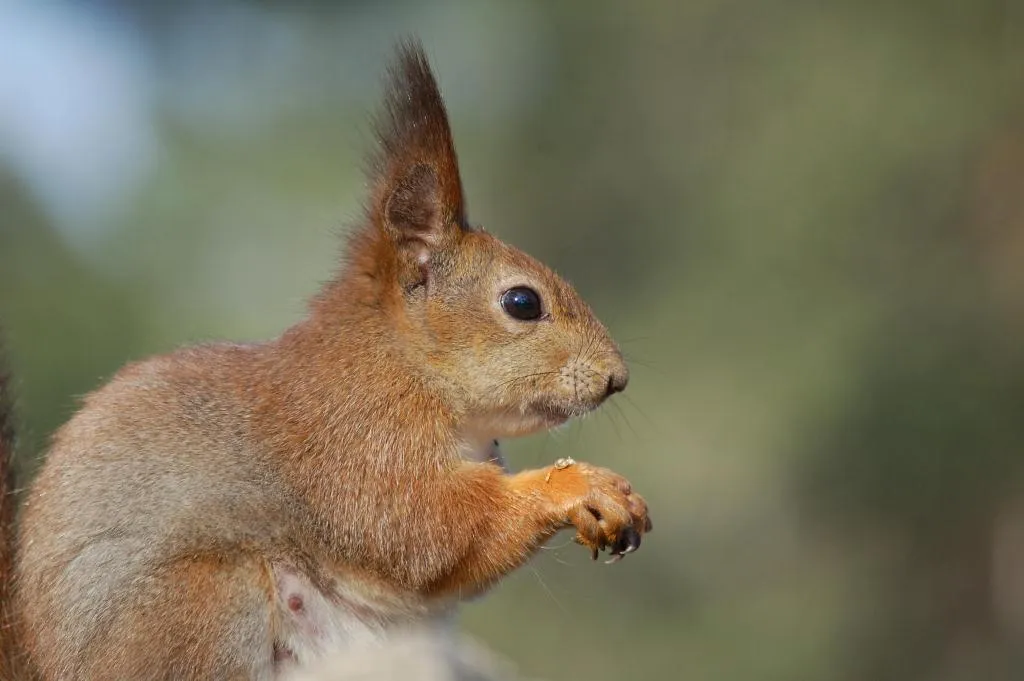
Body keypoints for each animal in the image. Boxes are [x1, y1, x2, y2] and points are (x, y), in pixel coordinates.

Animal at [0, 38, 651, 679]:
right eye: (522, 302)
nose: (617, 378)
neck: (401, 362)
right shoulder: (354, 442)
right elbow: (428, 528)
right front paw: (576, 486)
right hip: (209, 601)